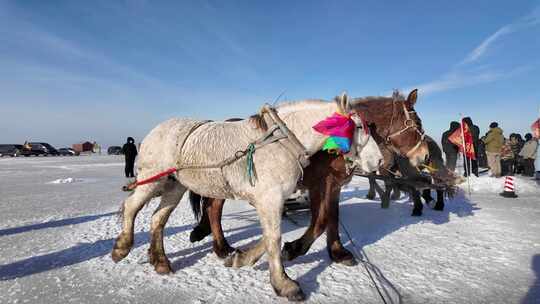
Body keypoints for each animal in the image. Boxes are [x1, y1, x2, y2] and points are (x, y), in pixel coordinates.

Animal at [110, 94, 380, 300]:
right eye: (358, 127)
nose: (378, 161)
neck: (280, 143)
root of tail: (155, 130)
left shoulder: (270, 201)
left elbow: (269, 237)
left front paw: (242, 258)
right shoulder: (271, 199)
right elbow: (274, 238)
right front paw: (284, 283)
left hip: (174, 187)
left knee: (158, 219)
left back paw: (161, 261)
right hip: (152, 180)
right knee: (131, 207)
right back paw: (122, 248)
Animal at [190, 89, 430, 264]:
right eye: (418, 124)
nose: (425, 156)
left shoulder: (334, 186)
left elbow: (332, 217)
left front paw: (337, 252)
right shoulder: (318, 185)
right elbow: (320, 220)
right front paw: (295, 248)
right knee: (213, 209)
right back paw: (222, 248)